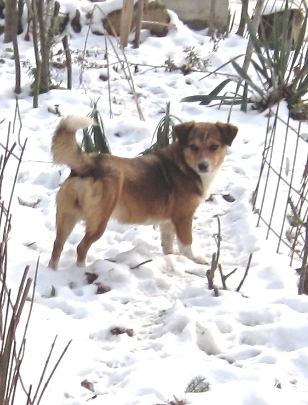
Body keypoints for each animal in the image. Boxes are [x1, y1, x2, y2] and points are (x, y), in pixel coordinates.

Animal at [48, 115, 237, 270]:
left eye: (214, 147)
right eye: (193, 147)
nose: (203, 166)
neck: (184, 164)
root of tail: (90, 162)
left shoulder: (168, 220)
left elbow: (167, 243)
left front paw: (171, 255)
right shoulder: (183, 217)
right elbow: (186, 244)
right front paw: (195, 259)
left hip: (67, 217)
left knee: (57, 246)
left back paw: (53, 272)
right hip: (98, 222)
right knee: (81, 247)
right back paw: (82, 269)